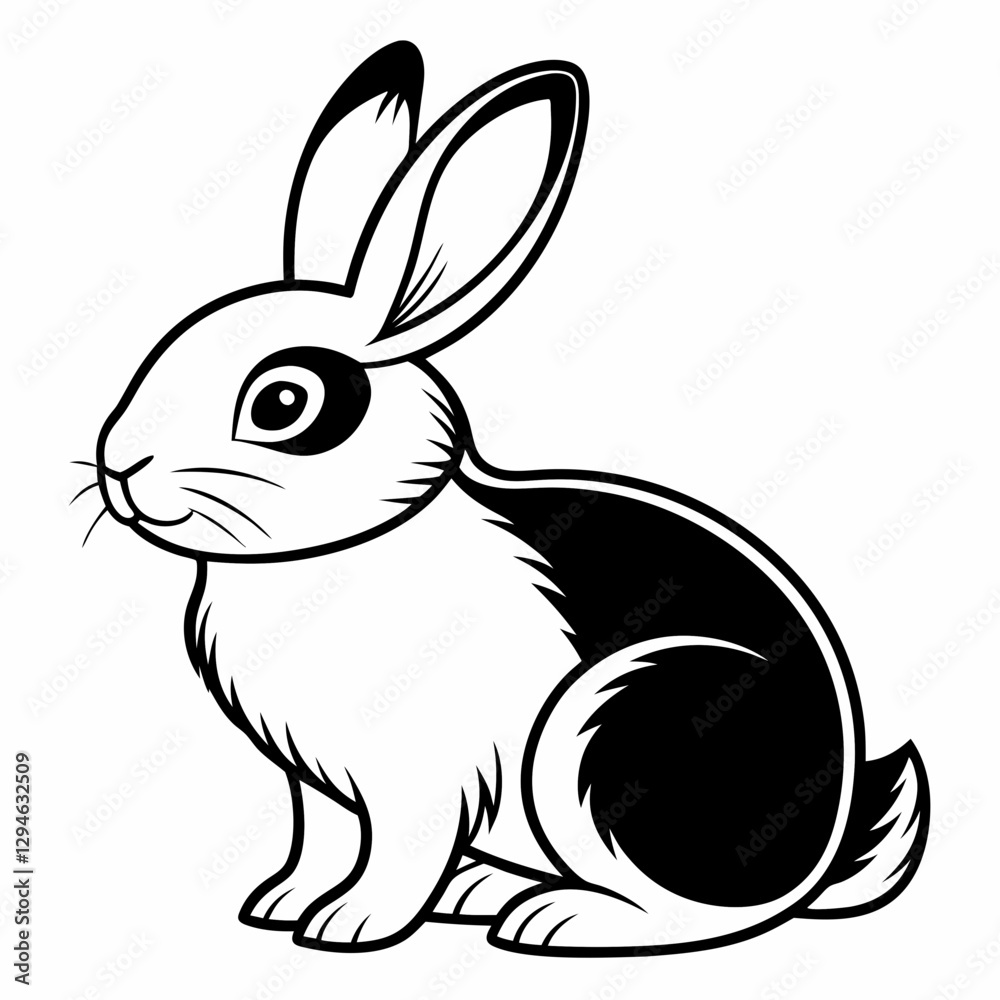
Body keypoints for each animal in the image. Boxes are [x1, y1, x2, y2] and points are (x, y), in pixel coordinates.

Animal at [90, 41, 929, 955]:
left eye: (283, 402)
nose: (120, 465)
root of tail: (822, 852)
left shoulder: (423, 775)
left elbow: (396, 853)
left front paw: (350, 925)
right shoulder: (316, 782)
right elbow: (322, 840)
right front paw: (280, 904)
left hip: (617, 736)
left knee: (696, 912)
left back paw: (553, 919)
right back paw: (484, 892)